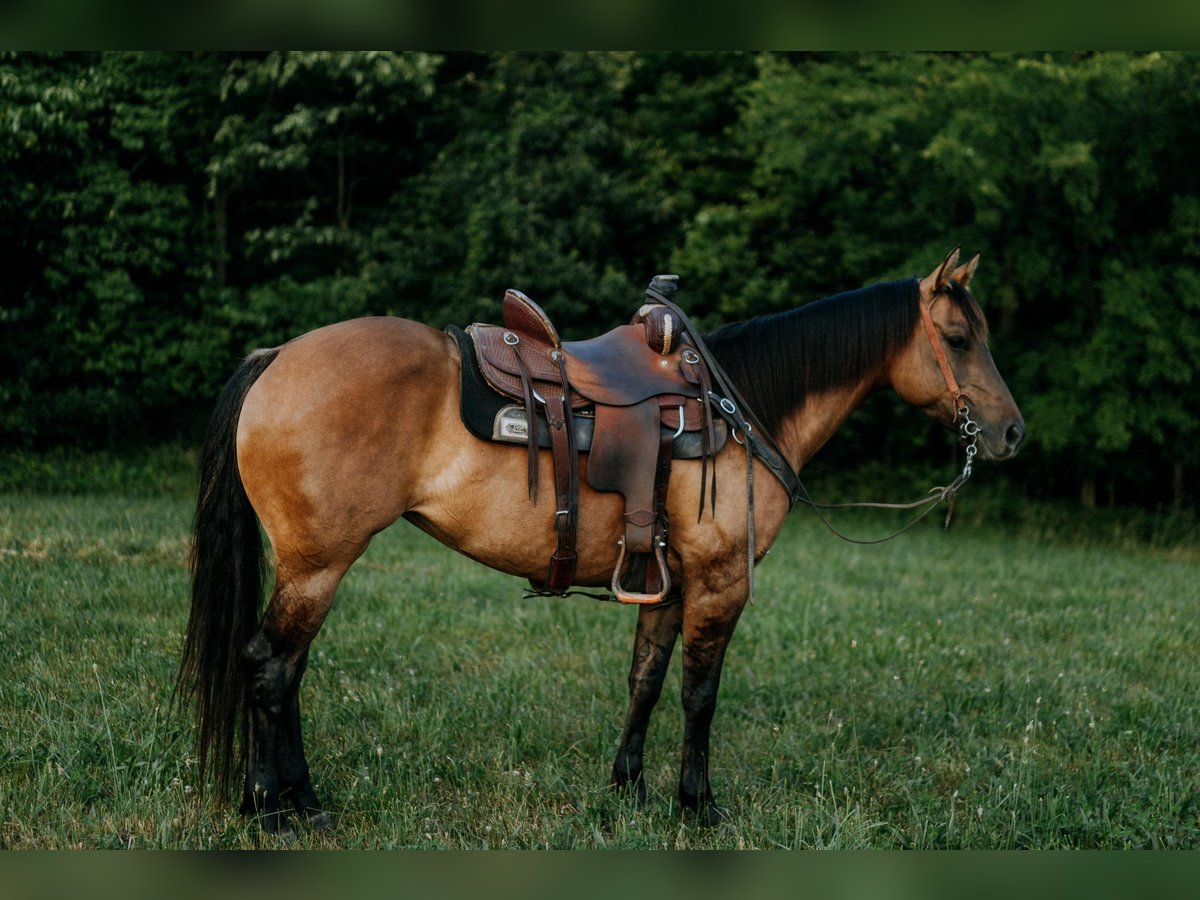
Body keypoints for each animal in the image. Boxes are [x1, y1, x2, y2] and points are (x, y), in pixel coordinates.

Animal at [175, 244, 1022, 830]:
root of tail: (277, 357)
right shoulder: (720, 581)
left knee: (283, 668)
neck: (743, 408)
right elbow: (701, 694)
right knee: (270, 666)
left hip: (312, 566)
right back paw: (283, 808)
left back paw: (284, 799)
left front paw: (630, 787)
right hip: (320, 563)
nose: (1012, 432)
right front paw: (698, 804)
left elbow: (646, 678)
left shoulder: (670, 580)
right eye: (958, 336)